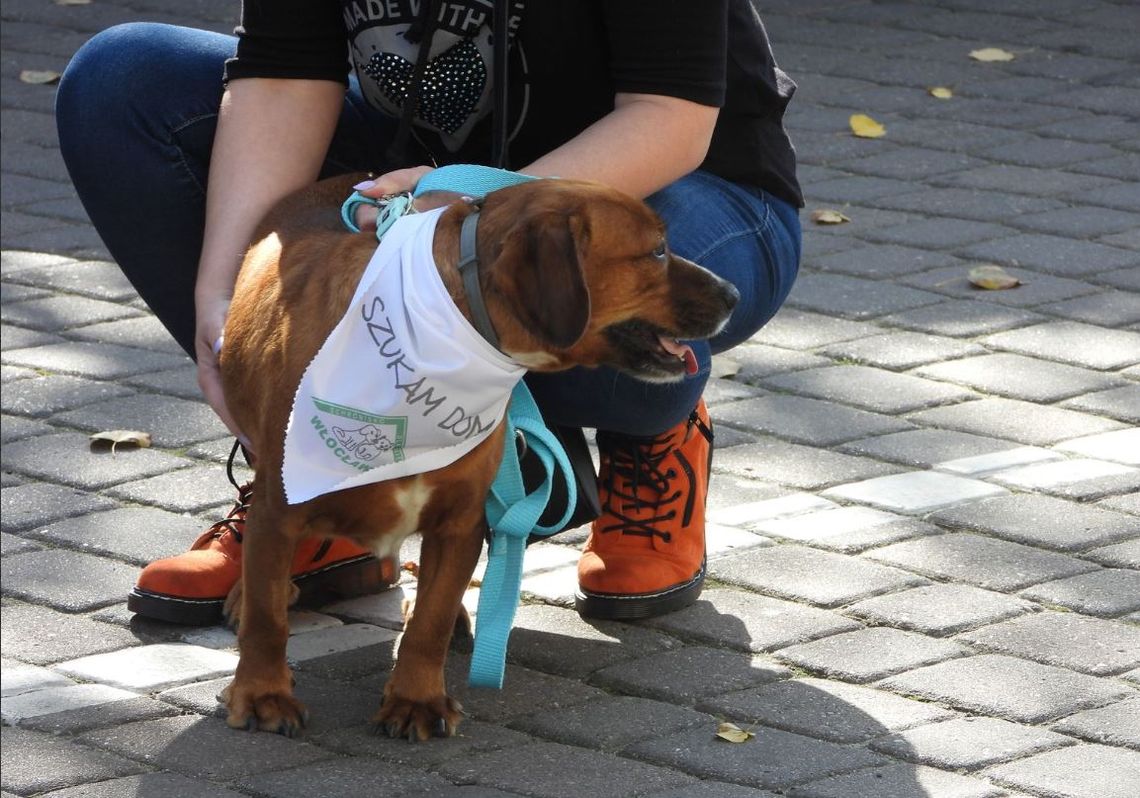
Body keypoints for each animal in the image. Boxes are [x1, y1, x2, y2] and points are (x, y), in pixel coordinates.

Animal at [218, 171, 743, 738]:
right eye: (658, 251)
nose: (734, 294)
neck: (448, 330)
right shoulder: (280, 509)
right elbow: (267, 621)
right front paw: (263, 693)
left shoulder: (461, 522)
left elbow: (431, 620)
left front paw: (416, 697)